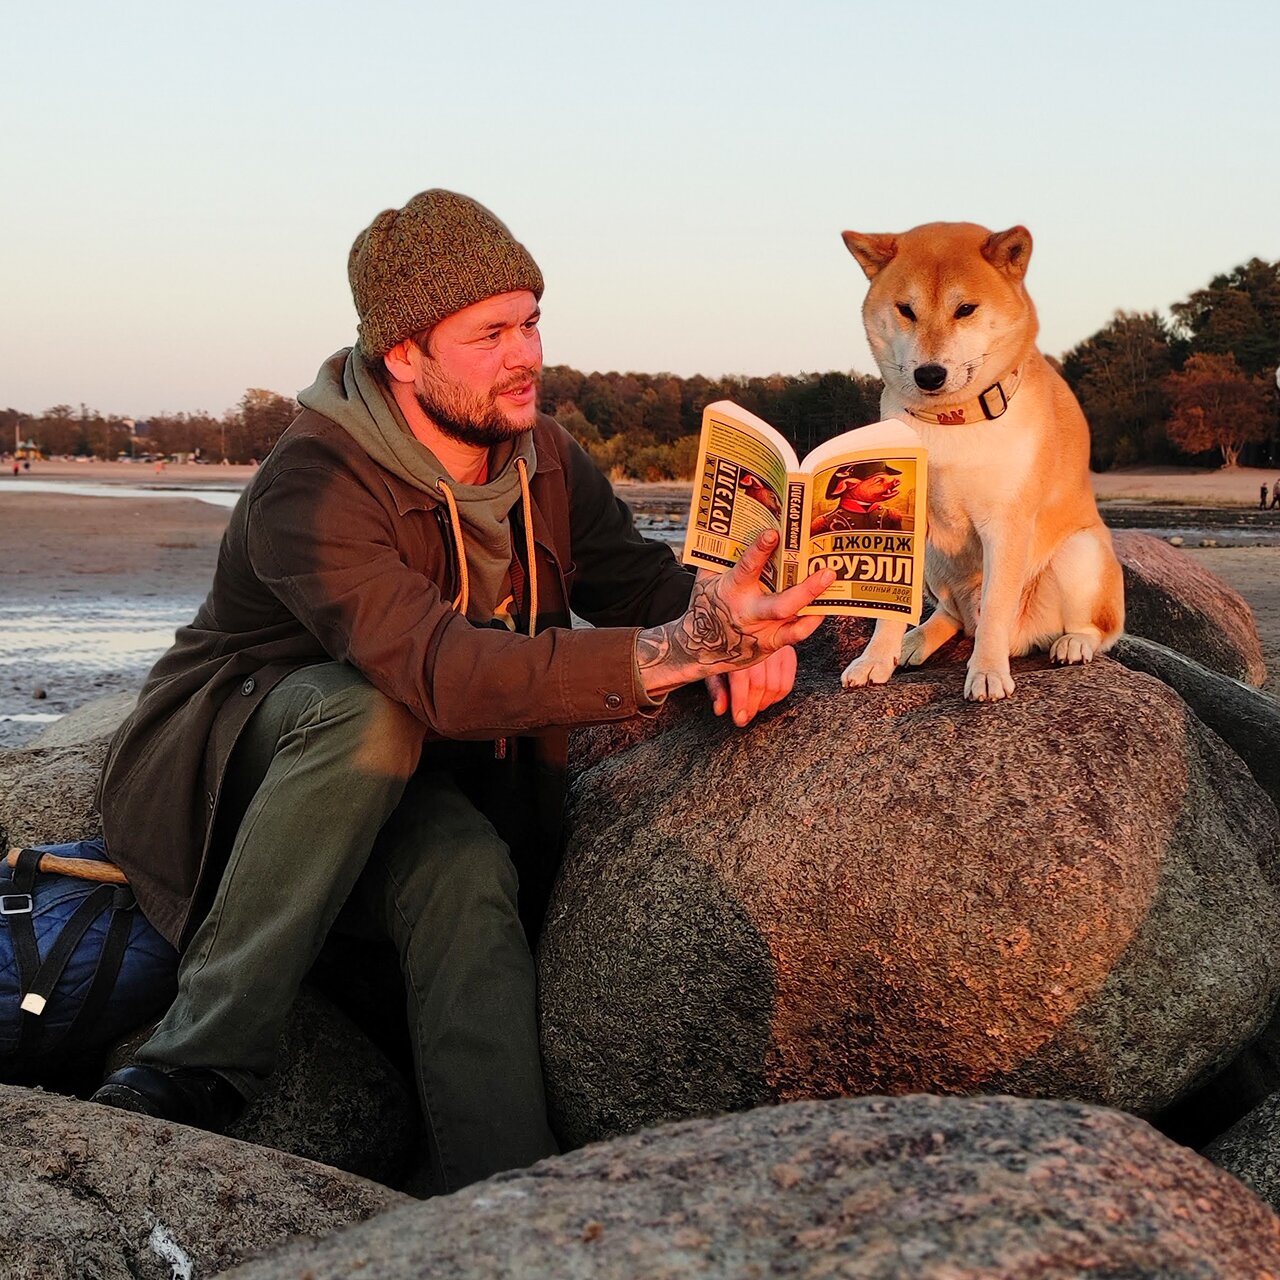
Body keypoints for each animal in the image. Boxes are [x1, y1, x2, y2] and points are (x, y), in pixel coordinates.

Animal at [839, 220, 1121, 701]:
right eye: (906, 310)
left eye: (965, 309)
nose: (929, 374)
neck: (950, 421)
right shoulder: (907, 526)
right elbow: (889, 609)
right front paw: (875, 659)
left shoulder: (1005, 524)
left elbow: (993, 610)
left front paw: (987, 671)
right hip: (935, 559)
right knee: (952, 615)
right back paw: (916, 640)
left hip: (1080, 553)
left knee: (1095, 629)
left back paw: (1073, 644)